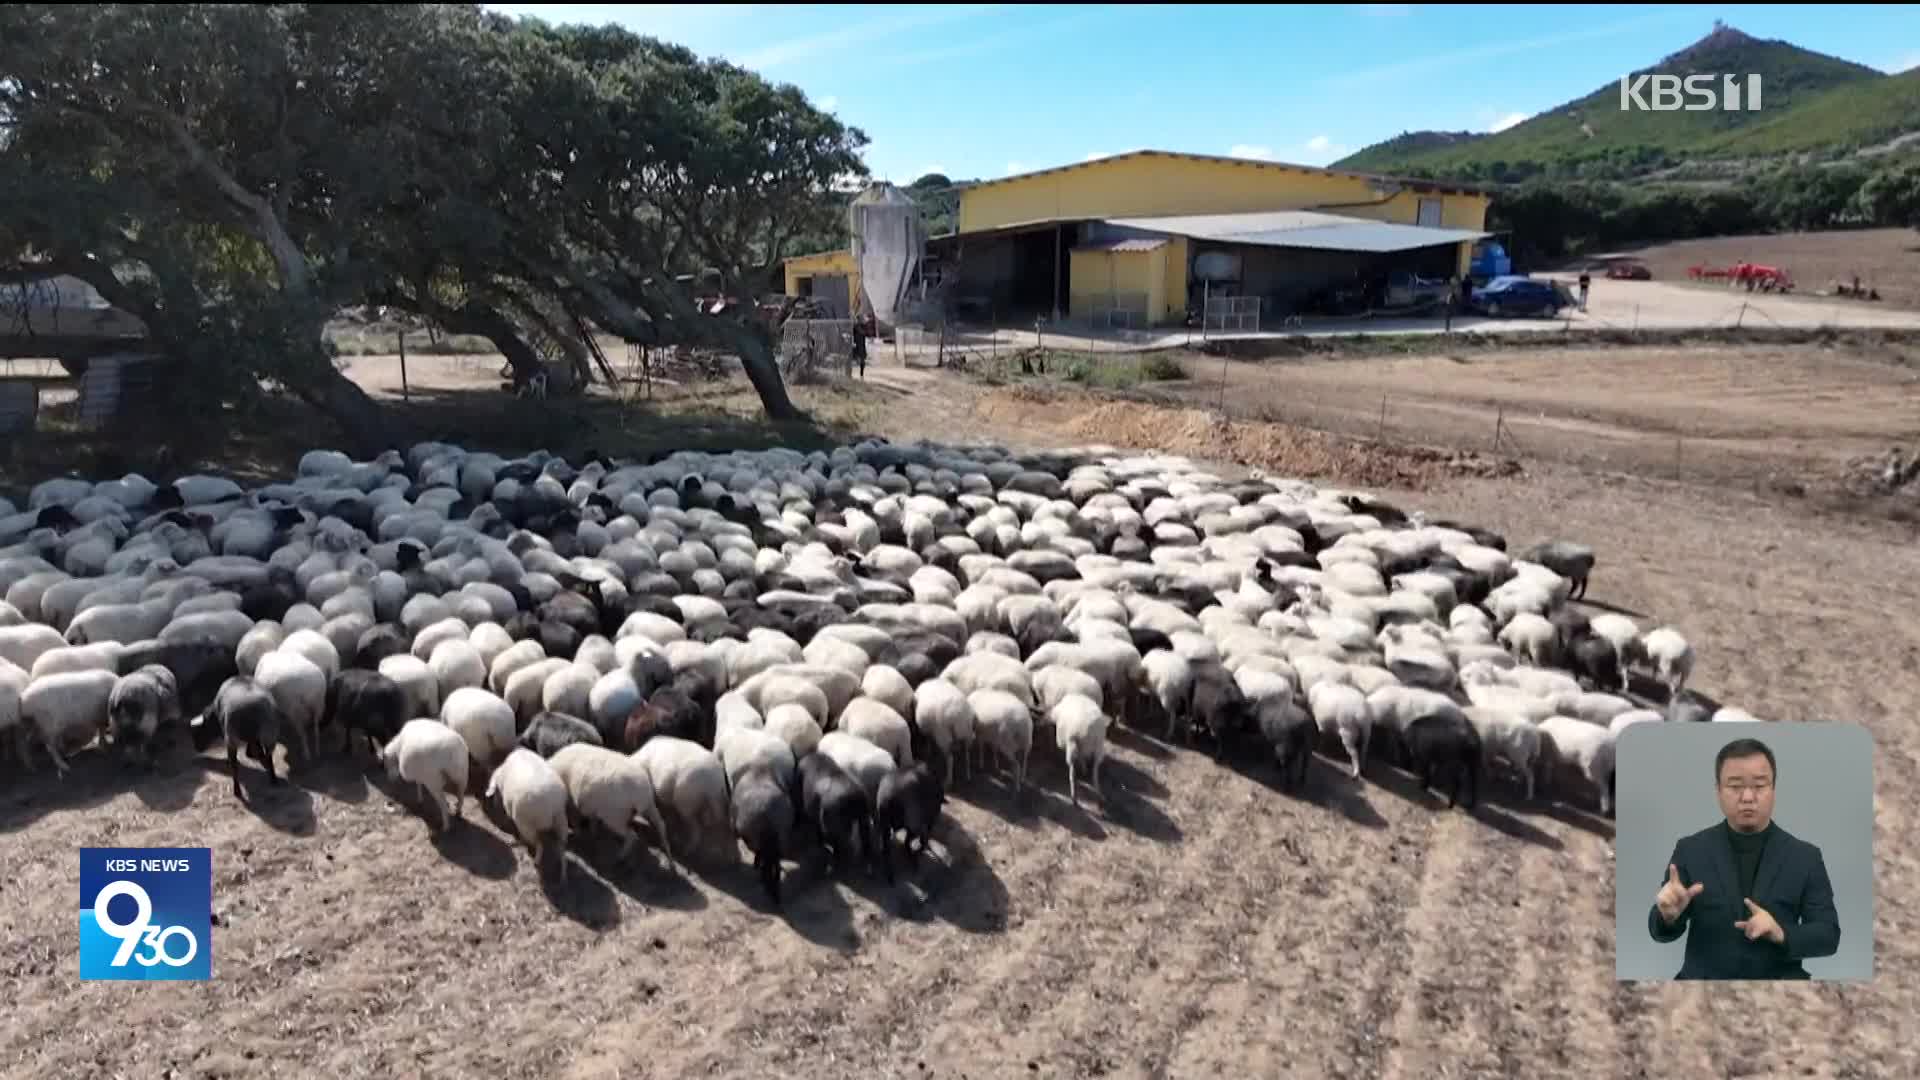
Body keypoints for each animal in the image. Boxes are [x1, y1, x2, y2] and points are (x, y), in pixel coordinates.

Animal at [487, 745, 568, 880]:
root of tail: (551, 805)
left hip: (527, 825)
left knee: (539, 844)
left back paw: (534, 858)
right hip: (561, 820)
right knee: (562, 849)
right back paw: (563, 875)